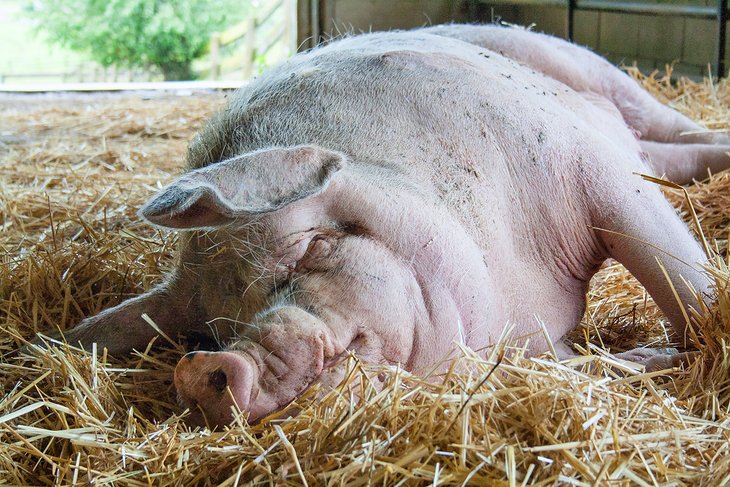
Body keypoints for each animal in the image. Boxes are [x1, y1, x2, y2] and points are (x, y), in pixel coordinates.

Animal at [35, 23, 728, 428]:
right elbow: (577, 366)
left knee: (667, 130)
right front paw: (650, 359)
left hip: (579, 66)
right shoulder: (534, 347)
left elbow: (682, 282)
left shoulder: (581, 165)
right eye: (206, 329)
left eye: (306, 248)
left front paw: (691, 347)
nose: (204, 370)